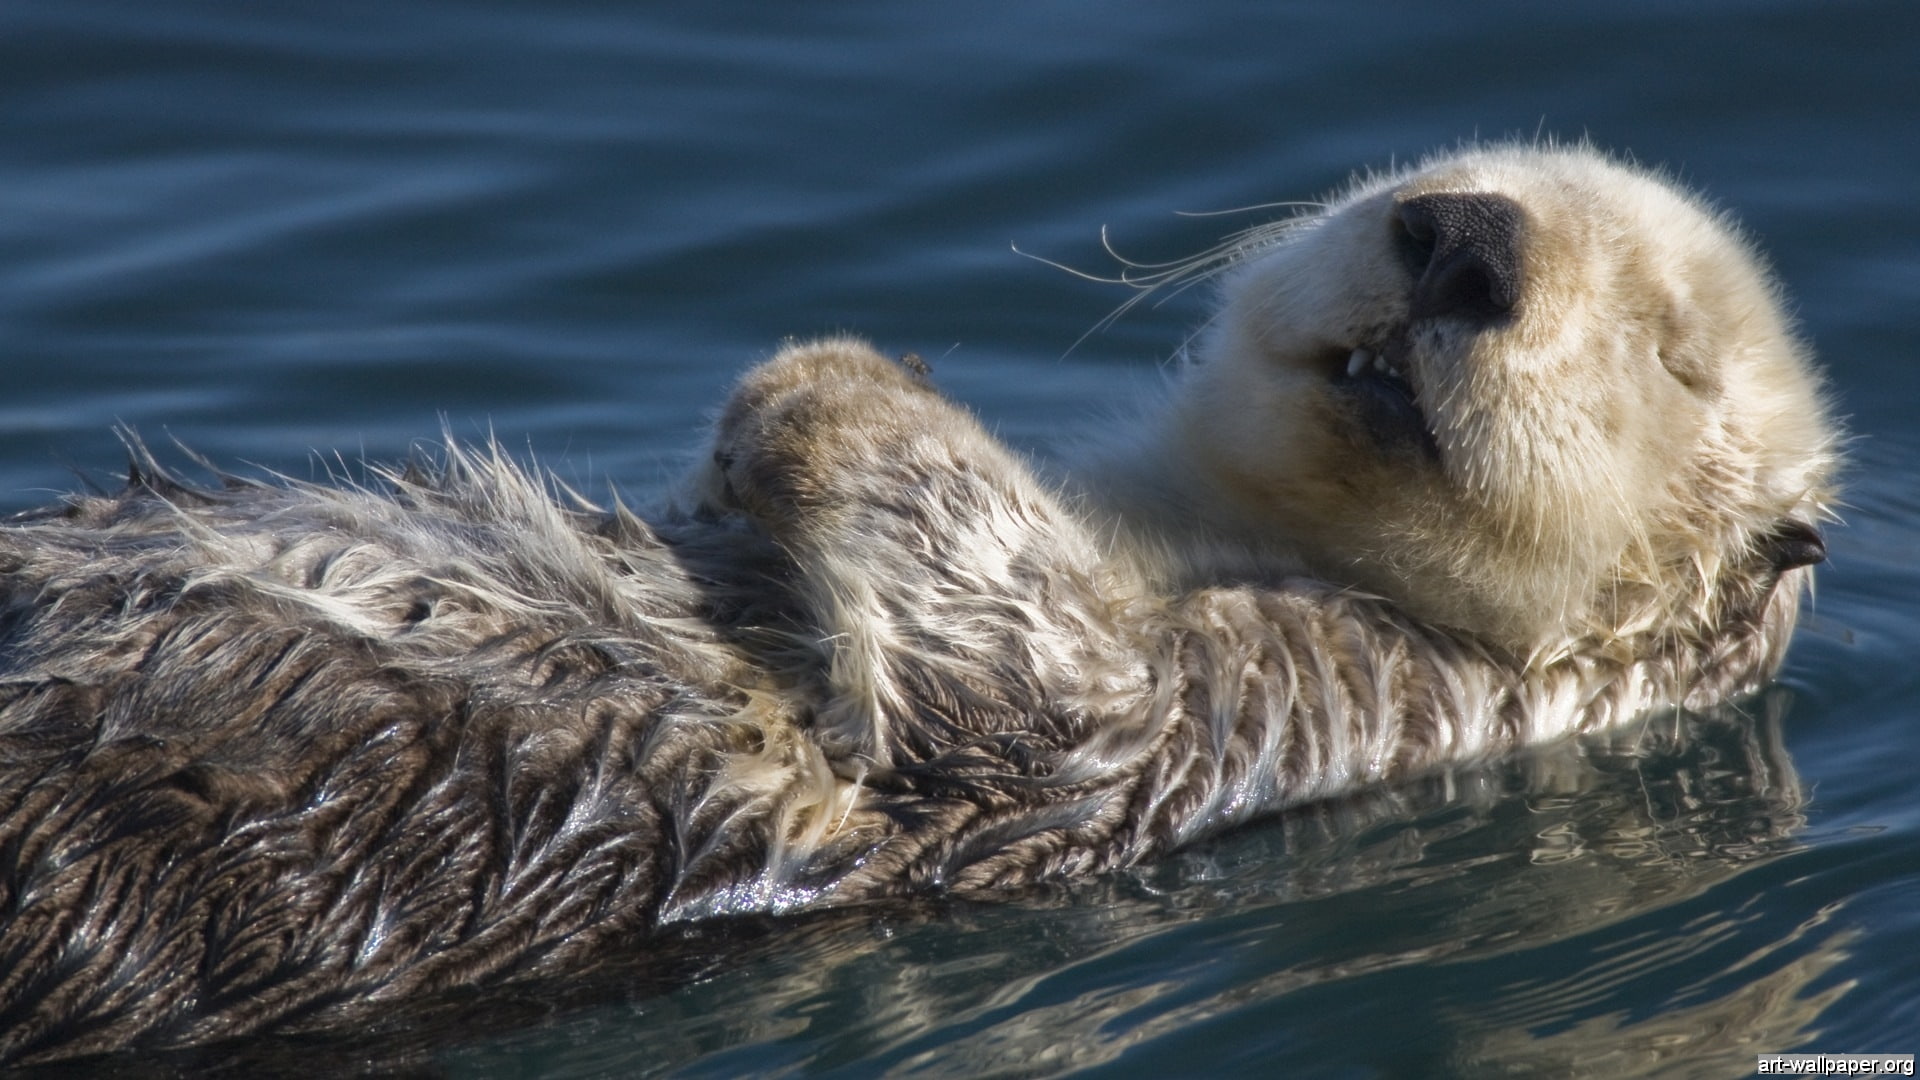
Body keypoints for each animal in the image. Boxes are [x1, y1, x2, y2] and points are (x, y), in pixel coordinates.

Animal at [0, 144, 1836, 1063]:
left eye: (1672, 352)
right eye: (1448, 173)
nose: (1461, 238)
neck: (1194, 527)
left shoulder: (1301, 701)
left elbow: (1027, 683)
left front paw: (823, 381)